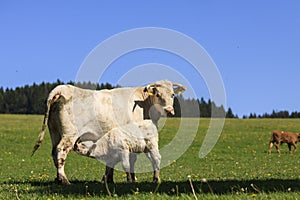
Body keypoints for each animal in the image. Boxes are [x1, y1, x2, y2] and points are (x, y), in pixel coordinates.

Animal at [32, 79, 185, 184]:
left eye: (172, 94)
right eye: (158, 94)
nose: (169, 110)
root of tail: (63, 88)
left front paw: (108, 179)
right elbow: (132, 159)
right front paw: (132, 179)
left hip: (55, 132)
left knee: (54, 152)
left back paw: (58, 179)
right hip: (69, 134)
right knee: (61, 151)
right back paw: (64, 180)